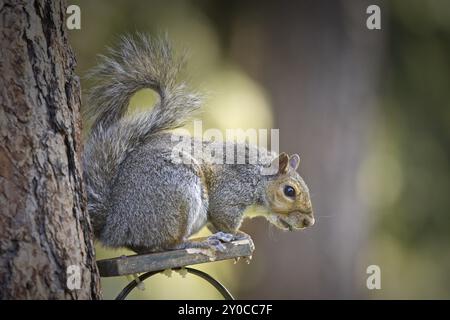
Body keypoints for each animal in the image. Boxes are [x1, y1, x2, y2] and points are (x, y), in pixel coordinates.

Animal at [82, 33, 314, 254]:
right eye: (289, 191)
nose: (309, 222)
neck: (256, 177)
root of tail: (115, 225)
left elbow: (215, 223)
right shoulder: (229, 192)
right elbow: (225, 219)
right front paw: (241, 235)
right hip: (180, 193)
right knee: (168, 244)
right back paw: (200, 243)